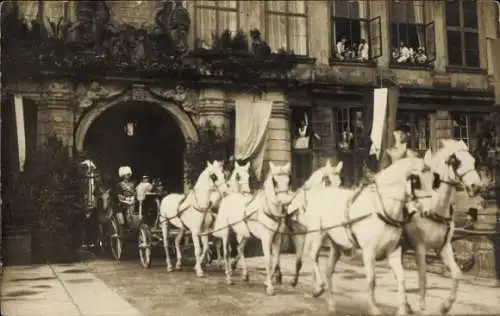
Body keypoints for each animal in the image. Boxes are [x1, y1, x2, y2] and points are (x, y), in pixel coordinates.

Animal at [212, 162, 292, 296]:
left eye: (288, 180)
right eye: (274, 181)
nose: (285, 201)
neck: (268, 209)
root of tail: (228, 196)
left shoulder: (278, 238)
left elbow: (276, 260)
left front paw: (267, 281)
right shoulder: (266, 239)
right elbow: (268, 260)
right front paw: (270, 287)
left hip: (245, 234)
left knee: (240, 248)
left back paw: (245, 275)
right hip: (226, 231)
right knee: (226, 252)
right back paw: (228, 277)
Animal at [302, 157, 436, 314]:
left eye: (433, 180)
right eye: (416, 180)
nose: (428, 211)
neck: (381, 209)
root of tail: (322, 193)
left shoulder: (394, 251)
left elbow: (401, 279)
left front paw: (403, 309)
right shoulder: (368, 251)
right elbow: (371, 280)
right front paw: (373, 308)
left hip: (337, 245)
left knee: (329, 270)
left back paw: (331, 304)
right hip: (319, 234)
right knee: (313, 257)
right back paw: (318, 287)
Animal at [404, 139, 482, 314]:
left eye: (473, 160)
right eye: (456, 161)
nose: (476, 186)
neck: (434, 208)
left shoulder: (443, 247)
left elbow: (457, 273)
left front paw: (446, 306)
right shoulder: (420, 248)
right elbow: (423, 276)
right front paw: (422, 305)